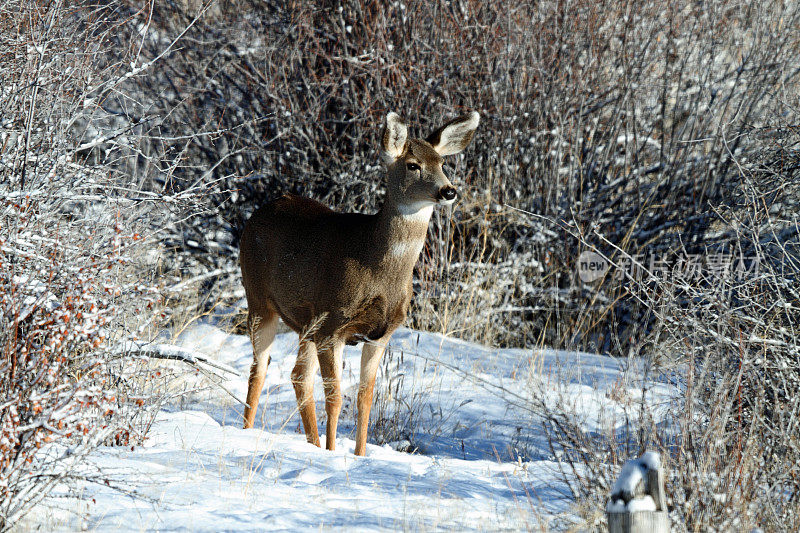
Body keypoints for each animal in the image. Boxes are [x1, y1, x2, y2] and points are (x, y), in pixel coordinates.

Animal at [239, 110, 482, 456]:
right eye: (413, 165)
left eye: (442, 163)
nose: (449, 191)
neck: (378, 270)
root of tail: (258, 213)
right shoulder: (333, 325)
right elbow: (335, 396)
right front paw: (332, 453)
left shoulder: (381, 333)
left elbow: (366, 397)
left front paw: (360, 455)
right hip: (260, 300)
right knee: (259, 369)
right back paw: (247, 432)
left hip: (306, 322)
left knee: (298, 376)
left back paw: (311, 442)